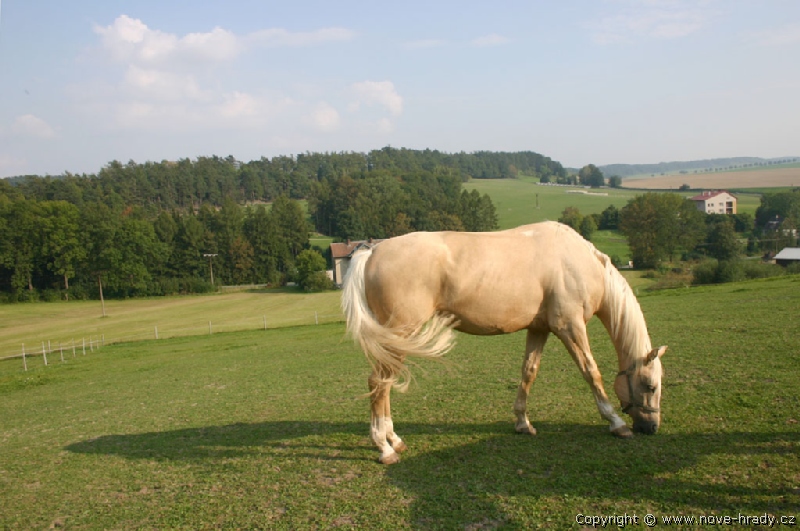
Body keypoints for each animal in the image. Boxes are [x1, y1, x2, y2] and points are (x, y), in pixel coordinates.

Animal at [340, 222, 664, 464]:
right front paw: (616, 424)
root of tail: (374, 251)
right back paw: (384, 448)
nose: (651, 428)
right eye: (650, 386)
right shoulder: (569, 326)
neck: (578, 260)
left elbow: (529, 372)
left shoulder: (539, 329)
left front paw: (523, 423)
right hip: (401, 333)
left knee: (384, 384)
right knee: (378, 383)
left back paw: (394, 440)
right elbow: (591, 372)